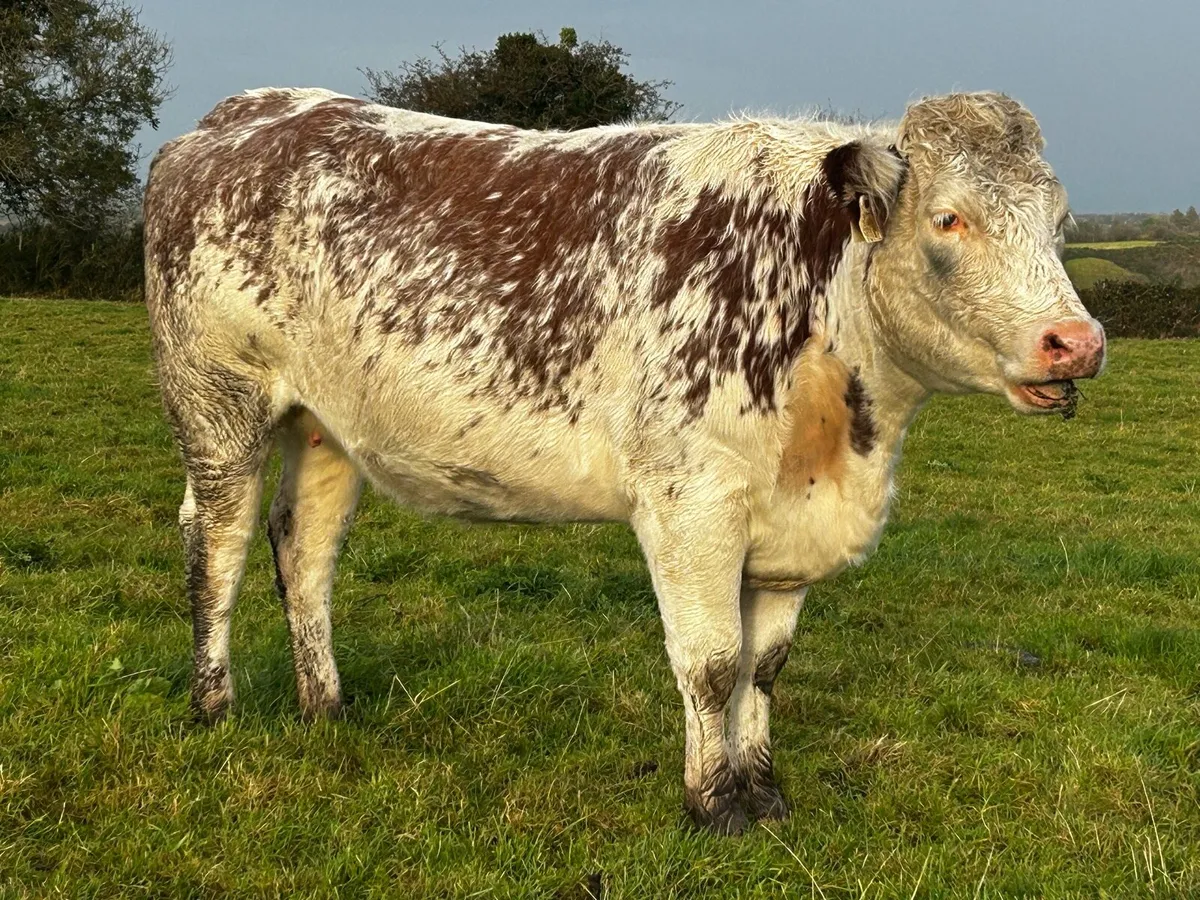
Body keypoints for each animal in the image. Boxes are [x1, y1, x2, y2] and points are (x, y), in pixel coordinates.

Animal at [143, 88, 1105, 834]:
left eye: (1059, 224)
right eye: (949, 217)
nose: (1077, 342)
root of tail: (240, 113)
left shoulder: (787, 523)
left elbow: (765, 665)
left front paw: (764, 794)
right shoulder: (691, 500)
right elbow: (712, 662)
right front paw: (713, 804)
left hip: (326, 426)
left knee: (304, 551)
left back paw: (327, 709)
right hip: (218, 402)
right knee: (217, 545)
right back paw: (215, 707)